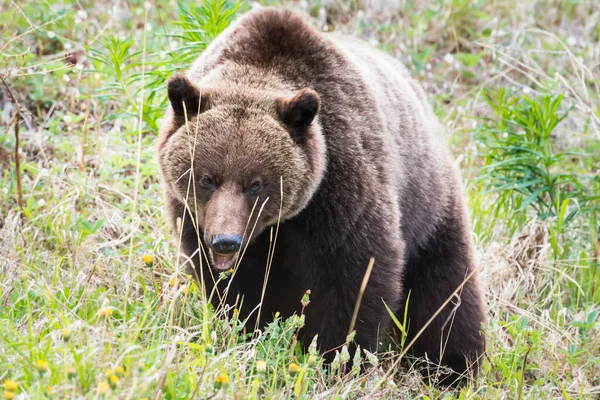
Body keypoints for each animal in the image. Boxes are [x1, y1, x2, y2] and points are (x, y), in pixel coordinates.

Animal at [157, 7, 486, 384]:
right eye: (207, 178)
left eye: (256, 183)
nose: (225, 241)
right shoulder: (194, 218)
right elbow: (236, 290)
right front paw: (253, 333)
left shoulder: (341, 190)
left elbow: (354, 280)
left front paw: (335, 359)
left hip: (429, 202)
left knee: (446, 292)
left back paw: (453, 367)